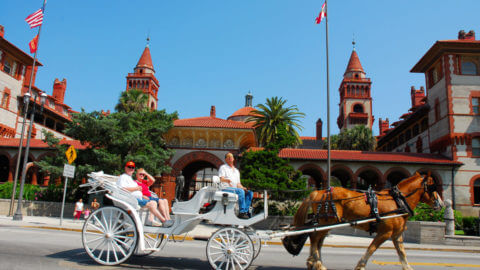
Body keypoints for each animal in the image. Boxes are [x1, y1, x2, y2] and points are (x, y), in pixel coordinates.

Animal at [284, 173, 444, 270]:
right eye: (432, 187)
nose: (441, 204)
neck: (397, 201)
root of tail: (319, 192)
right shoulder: (385, 233)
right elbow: (371, 248)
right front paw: (360, 265)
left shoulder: (396, 235)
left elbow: (402, 252)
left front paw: (408, 267)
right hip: (326, 221)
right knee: (315, 238)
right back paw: (316, 262)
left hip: (326, 222)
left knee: (317, 240)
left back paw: (314, 262)